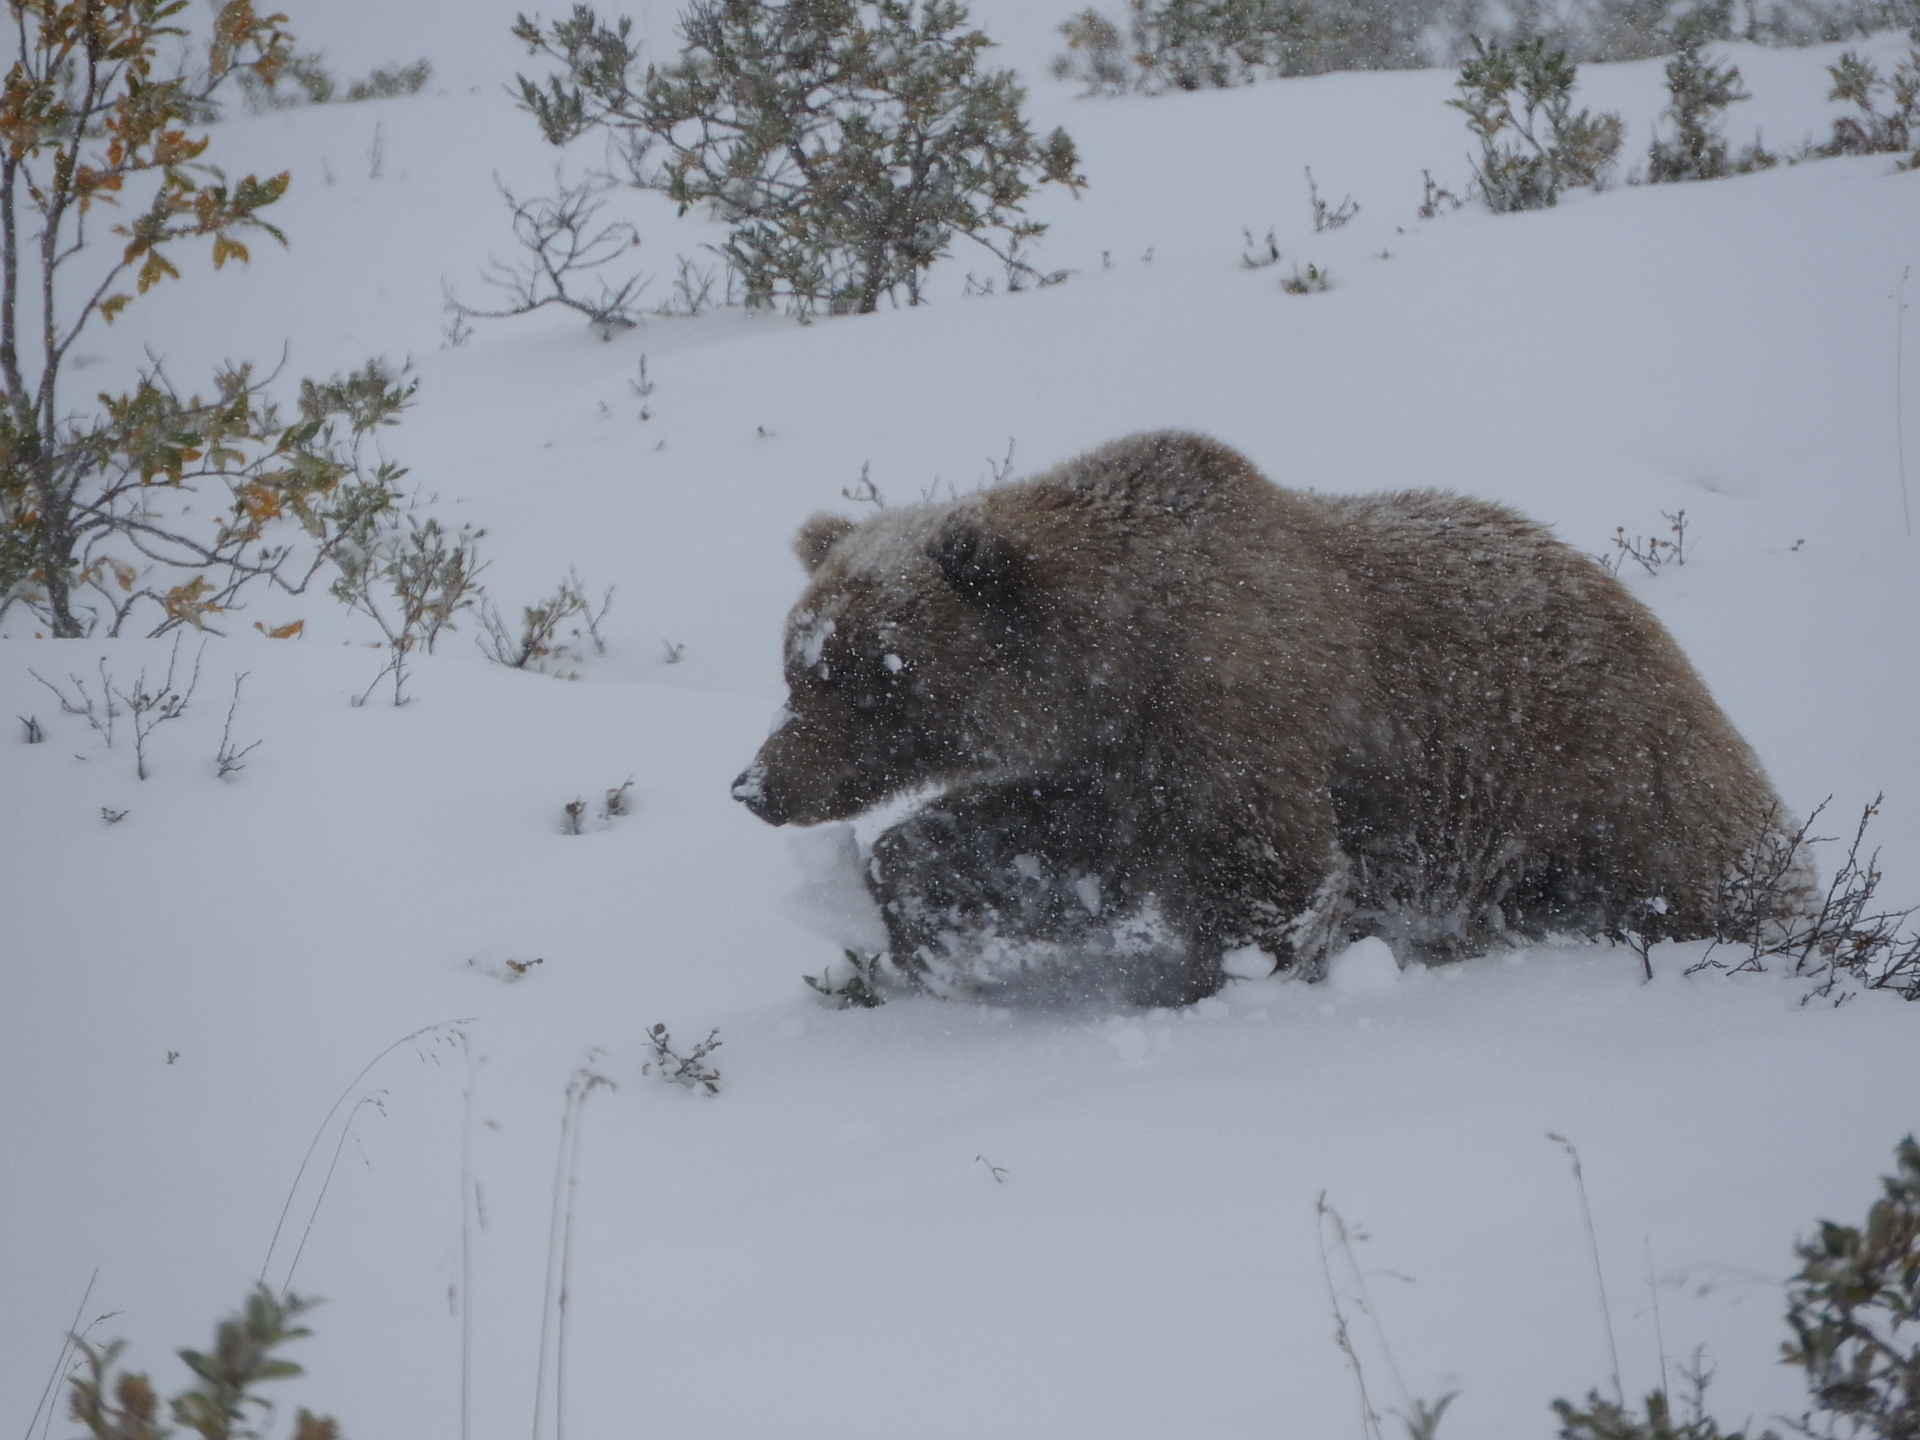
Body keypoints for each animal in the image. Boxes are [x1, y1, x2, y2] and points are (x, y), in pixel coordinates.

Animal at [729, 433, 1797, 1006]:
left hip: (1599, 782)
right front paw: (937, 933)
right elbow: (1022, 844)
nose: (756, 784)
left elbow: (1263, 877)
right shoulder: (1109, 763)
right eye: (797, 666)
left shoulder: (1235, 712)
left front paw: (1223, 985)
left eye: (868, 677)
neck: (1115, 659)